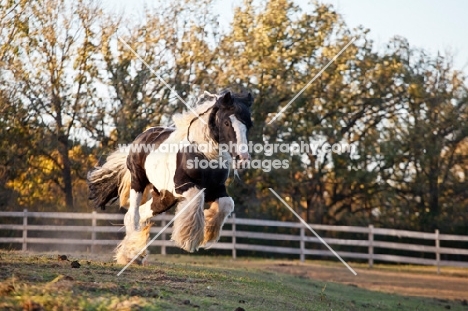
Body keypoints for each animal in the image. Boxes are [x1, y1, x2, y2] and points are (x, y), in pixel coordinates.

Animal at [85, 91, 250, 266]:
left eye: (249, 124)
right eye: (227, 122)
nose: (242, 158)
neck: (202, 152)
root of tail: (142, 137)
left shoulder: (216, 189)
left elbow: (227, 204)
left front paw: (208, 233)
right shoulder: (182, 186)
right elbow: (197, 198)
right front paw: (188, 239)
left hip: (164, 198)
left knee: (143, 213)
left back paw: (135, 252)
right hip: (139, 183)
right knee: (132, 216)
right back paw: (132, 255)